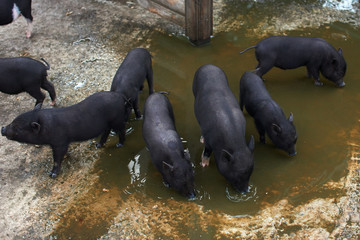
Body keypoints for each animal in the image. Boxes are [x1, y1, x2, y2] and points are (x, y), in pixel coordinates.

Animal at [193, 64, 255, 193]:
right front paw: (203, 165)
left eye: (250, 173)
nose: (245, 191)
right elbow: (206, 152)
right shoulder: (209, 138)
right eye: (236, 175)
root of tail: (208, 65)